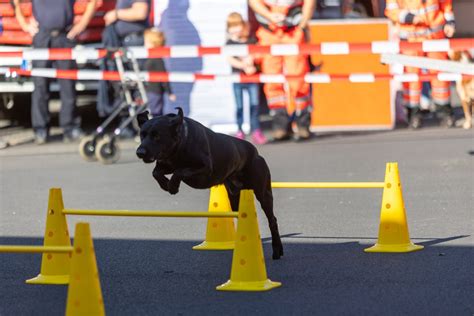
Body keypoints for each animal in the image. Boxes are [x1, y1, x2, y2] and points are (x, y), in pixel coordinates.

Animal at [135, 108, 284, 260]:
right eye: (142, 135)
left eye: (157, 136)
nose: (139, 152)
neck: (181, 142)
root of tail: (255, 151)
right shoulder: (165, 163)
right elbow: (156, 172)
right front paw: (166, 184)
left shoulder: (205, 168)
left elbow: (179, 171)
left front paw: (172, 186)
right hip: (235, 198)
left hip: (263, 193)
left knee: (272, 220)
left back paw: (277, 249)